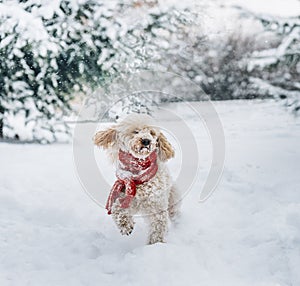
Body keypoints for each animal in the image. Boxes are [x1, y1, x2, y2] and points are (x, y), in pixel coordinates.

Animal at [94, 113, 180, 245]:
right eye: (135, 131)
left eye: (151, 133)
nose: (146, 140)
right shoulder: (124, 191)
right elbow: (117, 208)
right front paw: (125, 225)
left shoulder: (157, 207)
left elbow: (157, 228)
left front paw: (155, 245)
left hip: (173, 198)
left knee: (174, 213)